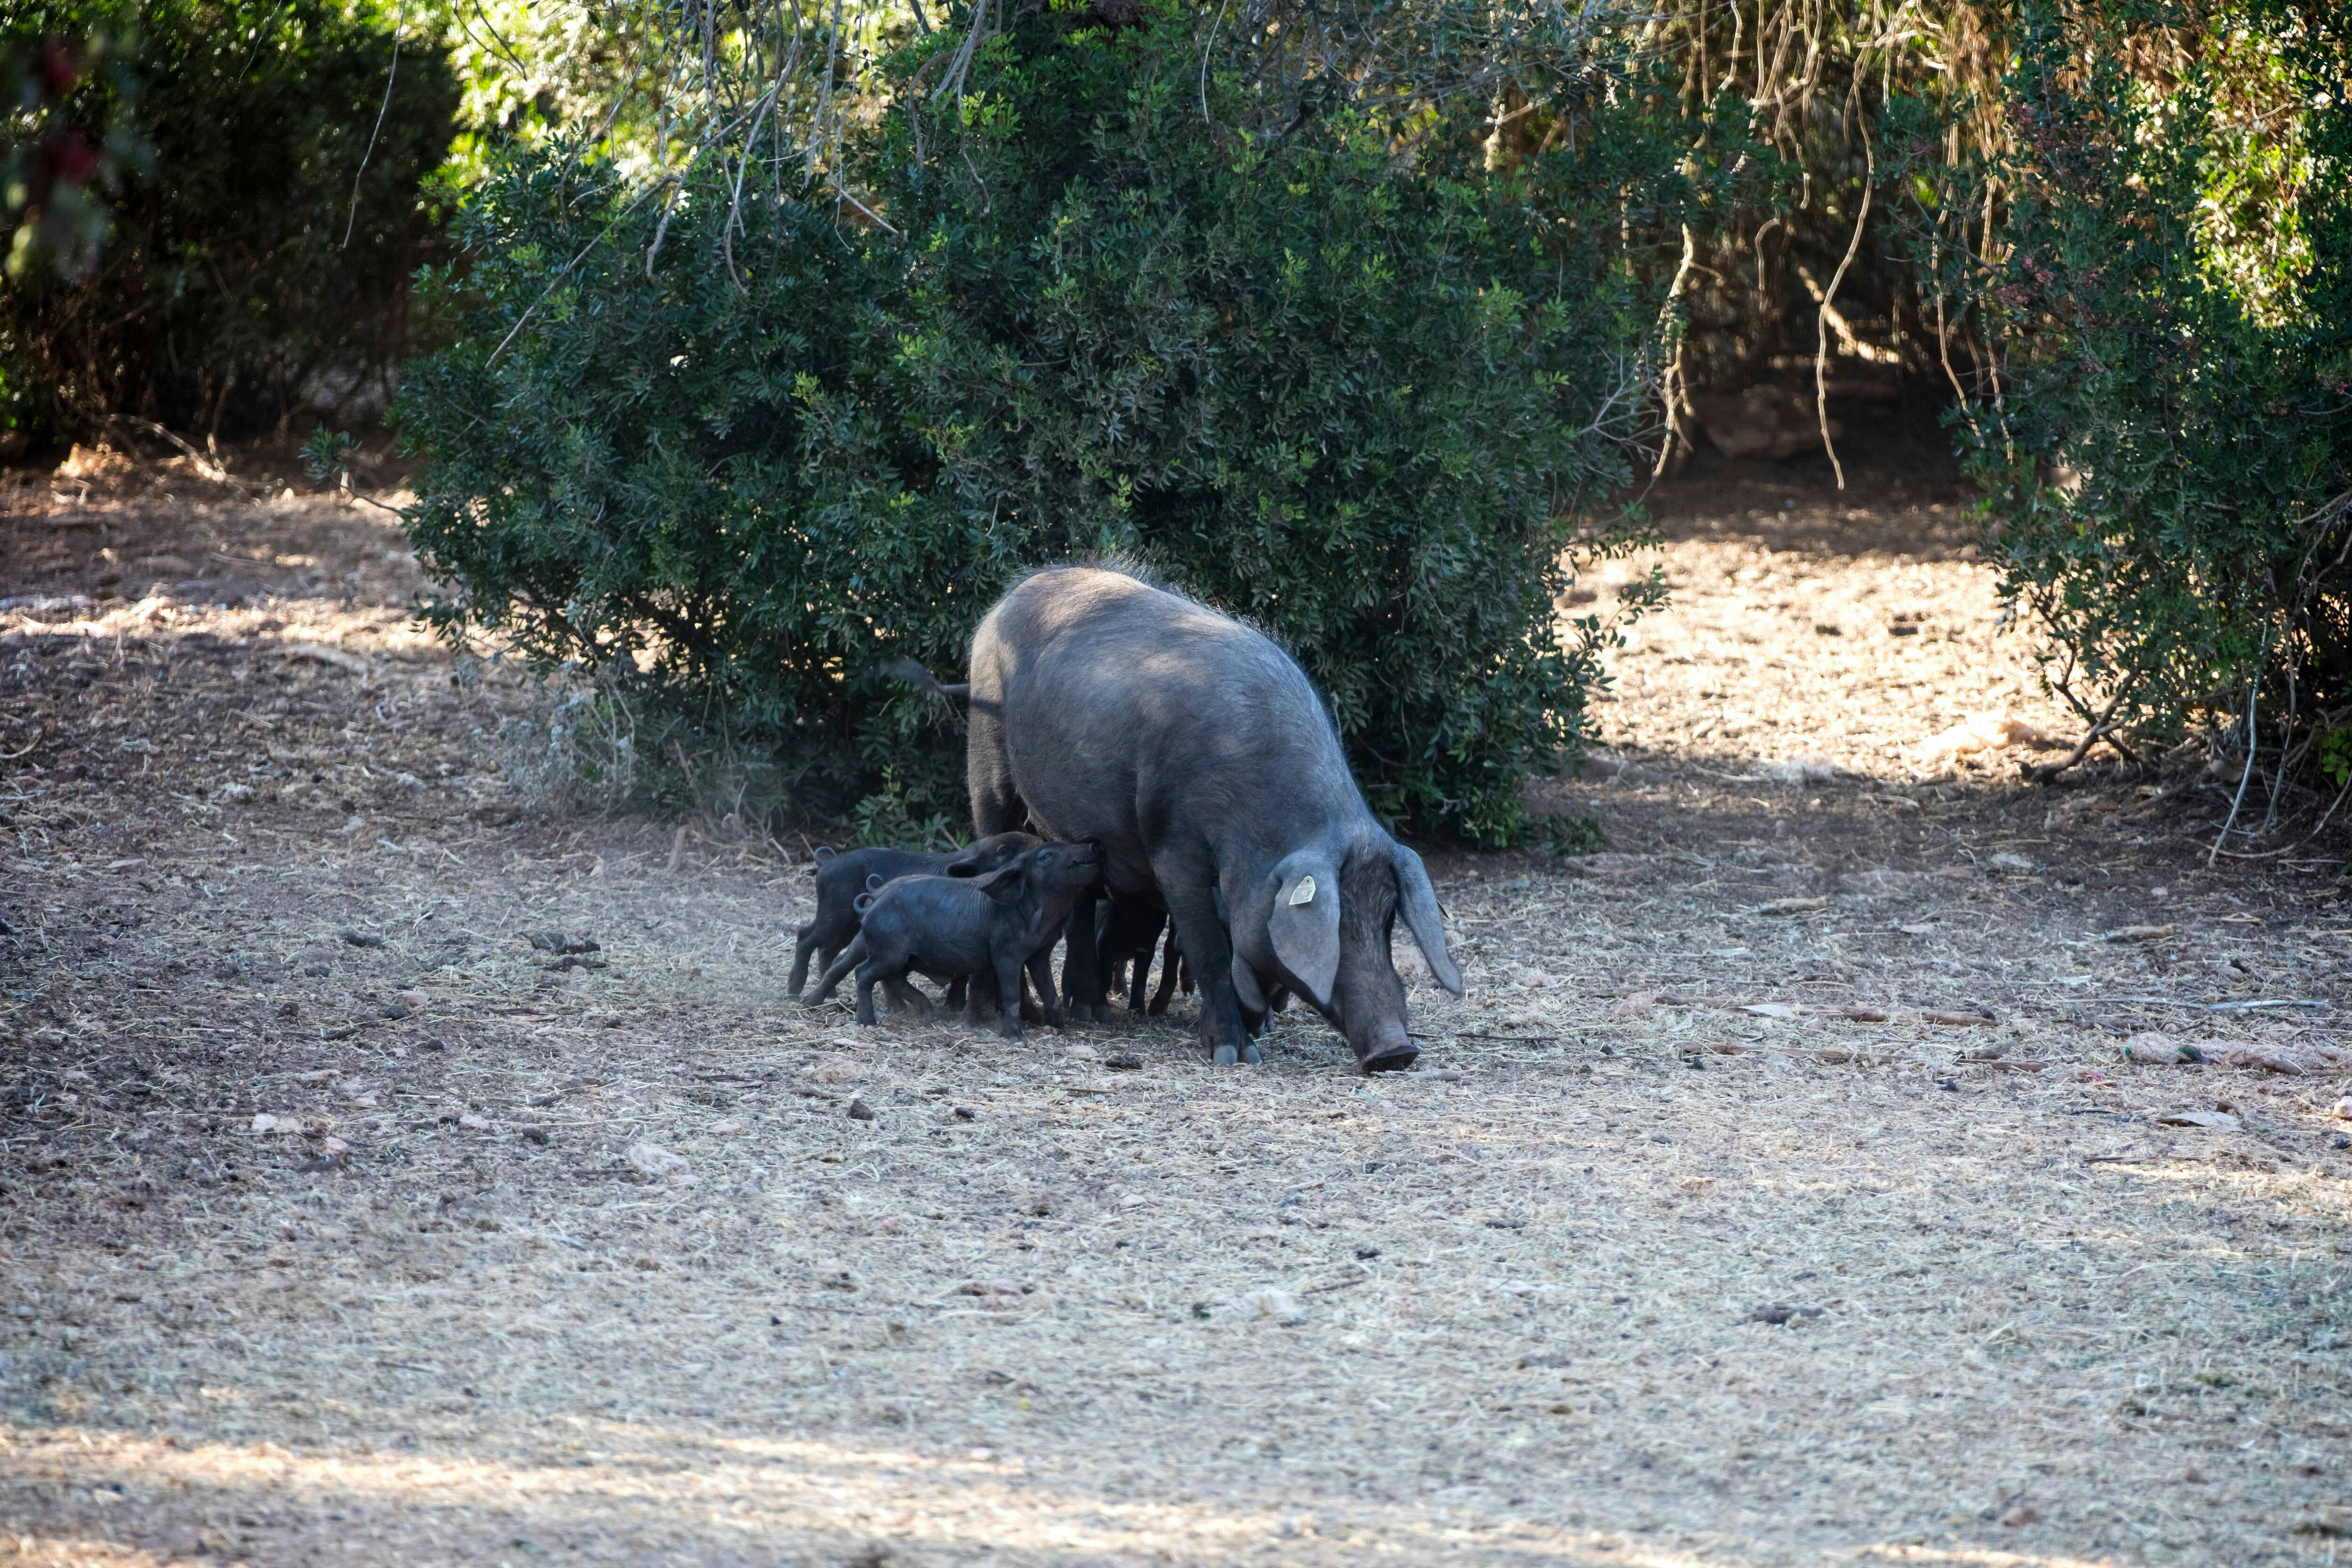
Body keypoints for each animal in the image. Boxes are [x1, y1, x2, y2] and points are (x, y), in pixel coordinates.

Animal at [964, 564, 1458, 1067]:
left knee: (1079, 899)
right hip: (985, 750)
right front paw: (1234, 1053)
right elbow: (1209, 950)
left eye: (1388, 919)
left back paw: (1091, 1012)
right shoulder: (1172, 847)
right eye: (1333, 925)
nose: (1396, 1050)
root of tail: (1004, 604)